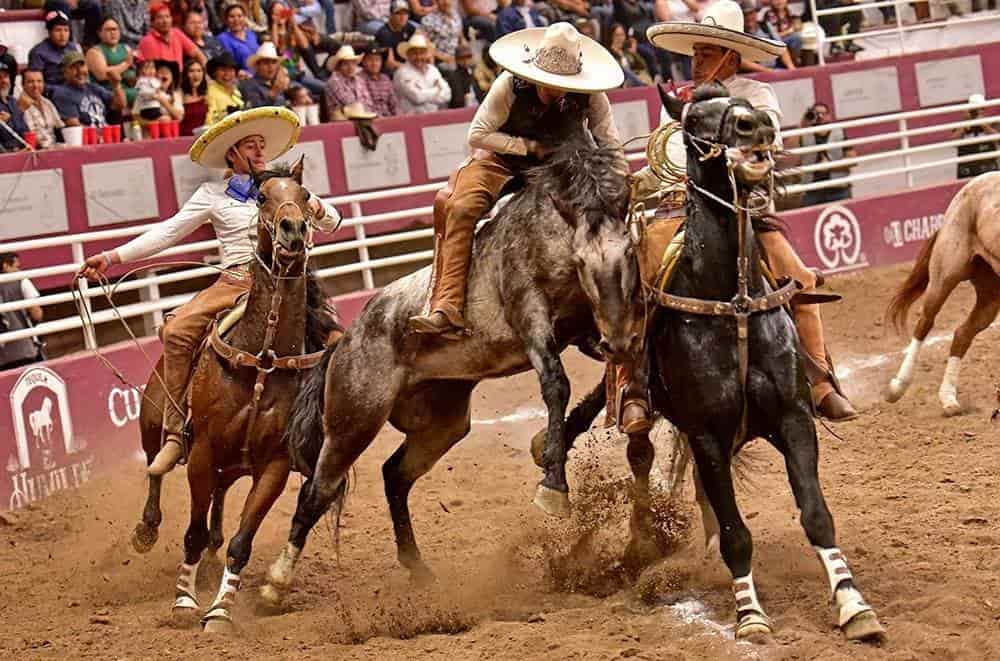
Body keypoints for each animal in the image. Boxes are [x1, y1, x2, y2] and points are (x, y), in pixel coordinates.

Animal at [258, 125, 640, 604]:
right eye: (583, 263)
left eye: (631, 254)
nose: (621, 337)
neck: (547, 234)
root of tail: (344, 341)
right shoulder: (531, 317)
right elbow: (557, 383)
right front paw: (553, 484)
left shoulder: (585, 333)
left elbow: (596, 385)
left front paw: (548, 446)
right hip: (352, 424)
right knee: (317, 492)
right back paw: (274, 584)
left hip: (443, 423)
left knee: (393, 476)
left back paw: (417, 567)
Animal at [888, 173, 996, 416]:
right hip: (944, 276)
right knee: (924, 324)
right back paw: (898, 386)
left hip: (991, 295)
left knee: (962, 334)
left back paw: (948, 398)